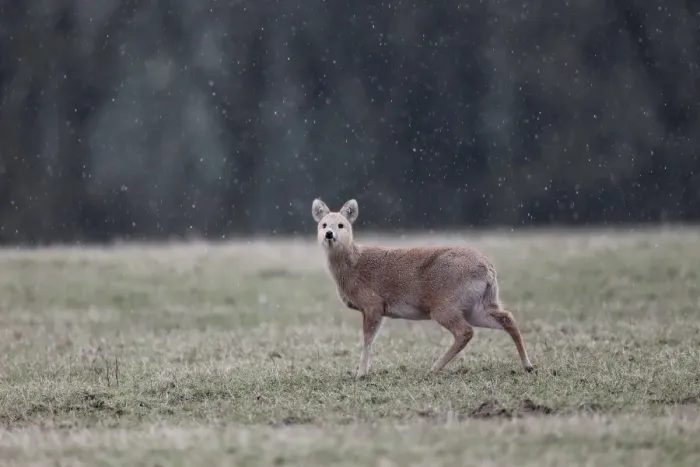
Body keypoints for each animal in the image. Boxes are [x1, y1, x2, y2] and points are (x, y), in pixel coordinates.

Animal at [311, 198, 534, 379]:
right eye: (323, 224)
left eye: (341, 225)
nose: (329, 234)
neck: (353, 266)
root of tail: (488, 269)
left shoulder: (373, 303)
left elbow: (367, 340)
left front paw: (361, 374)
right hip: (477, 306)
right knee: (506, 318)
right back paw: (528, 366)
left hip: (445, 304)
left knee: (465, 331)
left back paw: (433, 369)